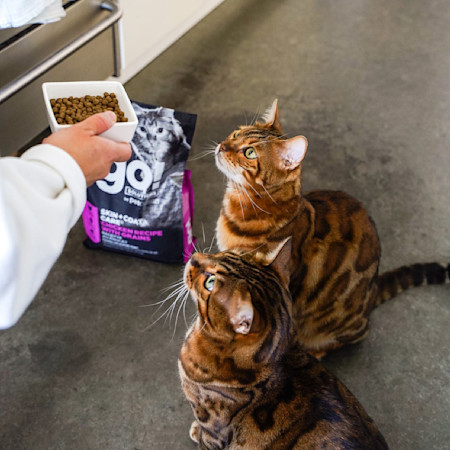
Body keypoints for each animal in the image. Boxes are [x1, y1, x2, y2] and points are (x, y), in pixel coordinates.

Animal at [178, 243, 388, 450]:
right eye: (225, 253)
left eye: (210, 282)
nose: (193, 257)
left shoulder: (213, 431)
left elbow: (205, 438)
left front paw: (196, 431)